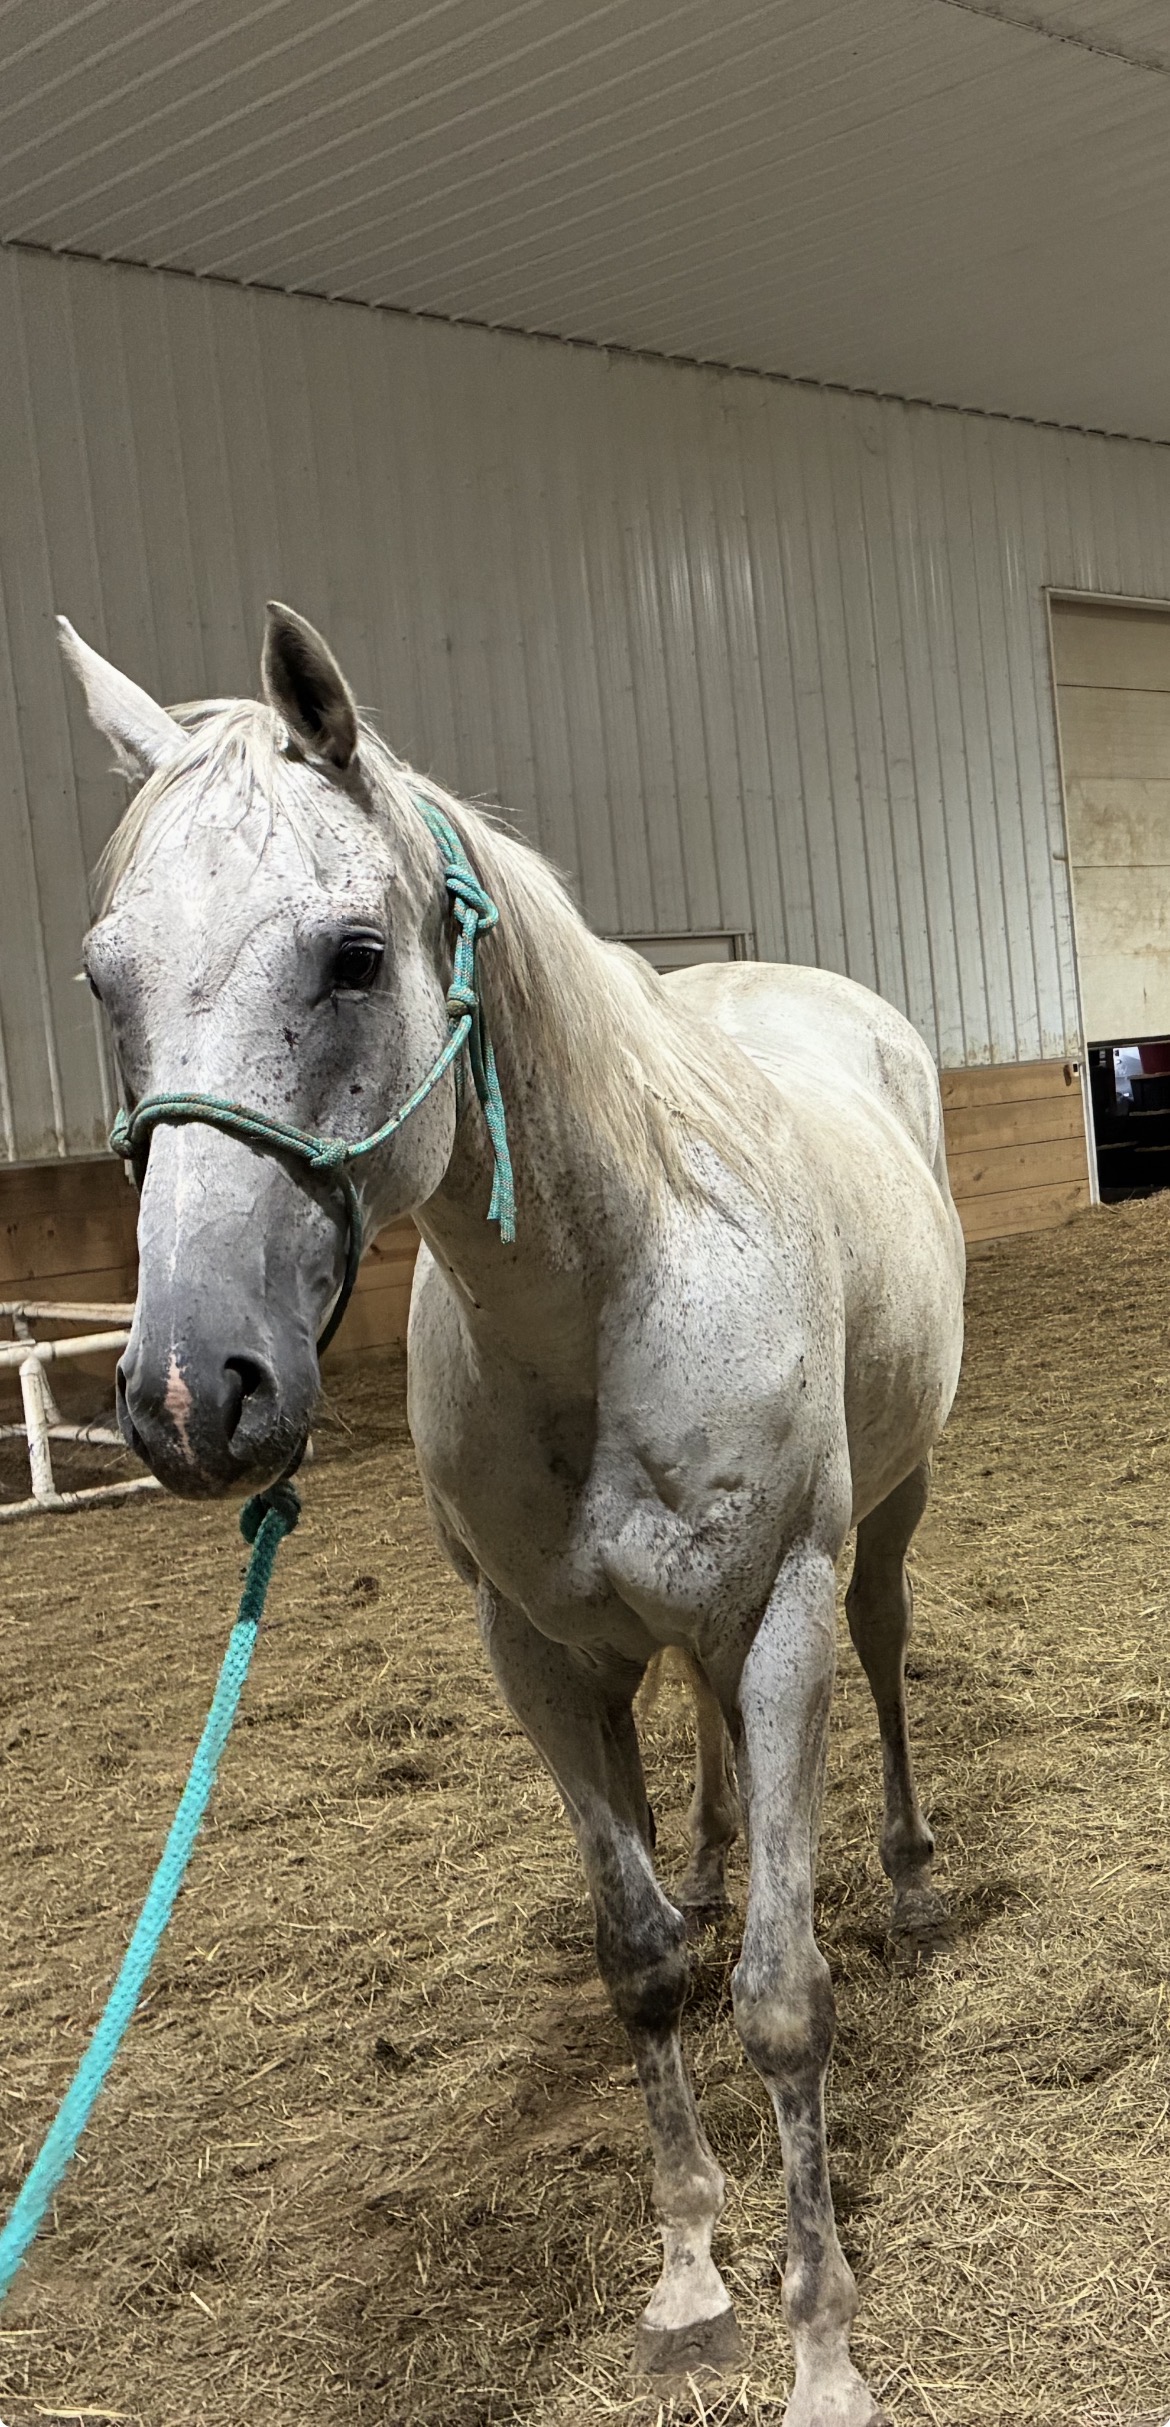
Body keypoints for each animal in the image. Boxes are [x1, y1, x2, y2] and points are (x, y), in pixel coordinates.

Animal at [63, 603, 965, 2427]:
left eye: (353, 956)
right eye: (102, 977)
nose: (193, 1390)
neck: (605, 1288)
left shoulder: (778, 1612)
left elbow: (780, 2001)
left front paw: (820, 2340)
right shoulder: (536, 1654)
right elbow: (641, 1967)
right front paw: (689, 2270)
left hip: (879, 1525)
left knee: (887, 1648)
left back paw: (907, 1874)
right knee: (693, 1743)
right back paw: (710, 1853)